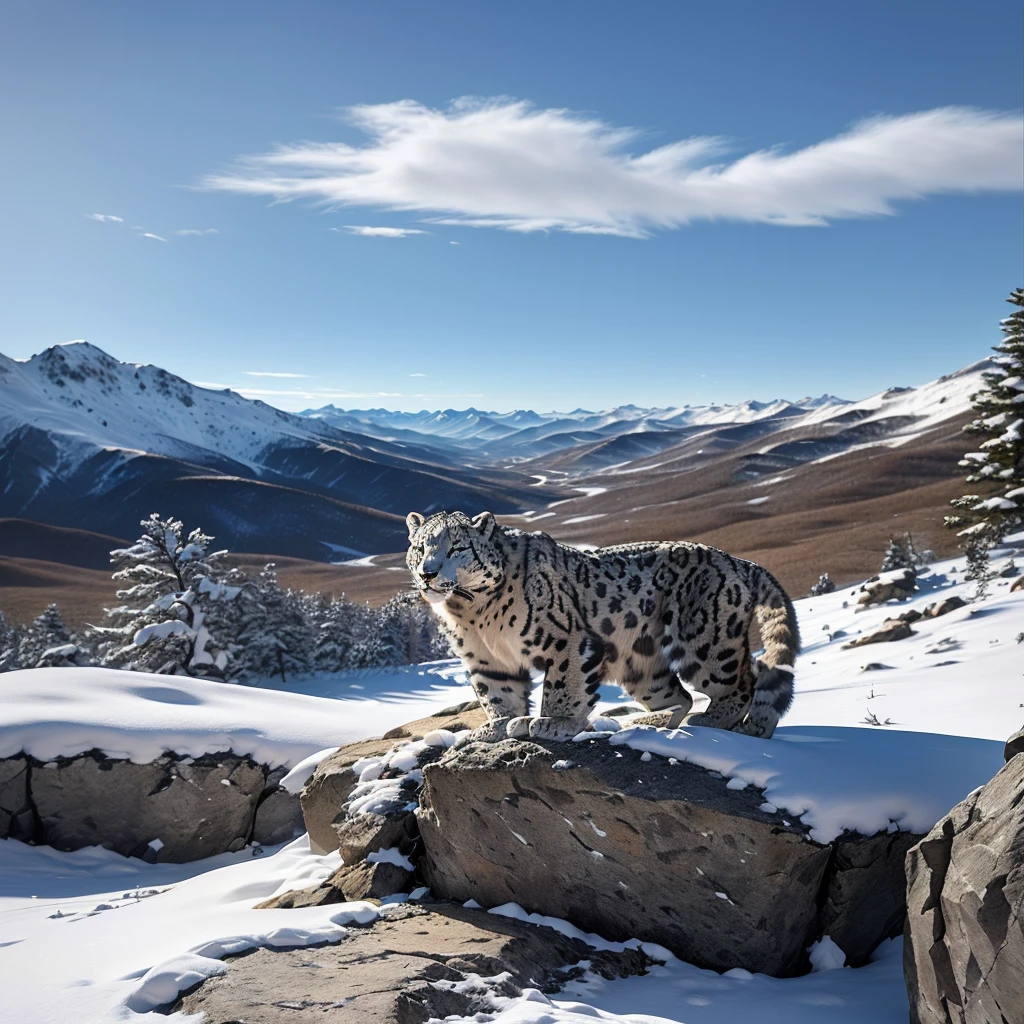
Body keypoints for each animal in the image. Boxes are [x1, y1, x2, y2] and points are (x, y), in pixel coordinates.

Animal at [405, 509, 798, 745]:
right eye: (420, 546)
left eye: (457, 547)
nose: (428, 573)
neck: (473, 614)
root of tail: (739, 561)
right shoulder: (487, 660)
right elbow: (498, 696)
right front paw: (496, 727)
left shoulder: (565, 640)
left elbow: (563, 686)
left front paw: (553, 722)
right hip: (643, 666)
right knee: (681, 696)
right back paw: (648, 724)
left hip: (704, 640)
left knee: (744, 680)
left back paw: (714, 722)